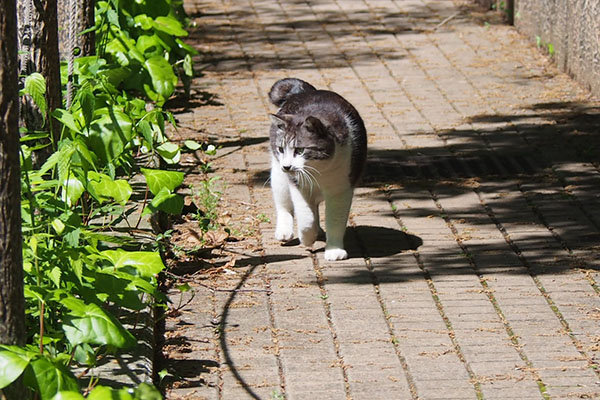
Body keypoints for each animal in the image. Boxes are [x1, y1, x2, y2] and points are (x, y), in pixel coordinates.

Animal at [268, 78, 366, 260]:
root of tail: (305, 90)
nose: (287, 166)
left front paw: (334, 250)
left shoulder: (341, 190)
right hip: (278, 177)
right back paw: (285, 231)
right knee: (284, 205)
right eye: (281, 149)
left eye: (300, 150)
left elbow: (335, 221)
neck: (319, 172)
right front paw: (306, 237)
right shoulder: (298, 185)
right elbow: (306, 218)